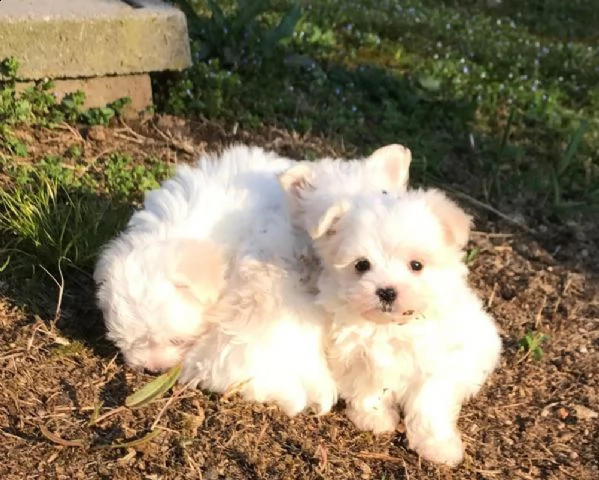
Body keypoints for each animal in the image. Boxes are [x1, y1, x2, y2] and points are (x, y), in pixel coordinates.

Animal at [280, 170, 502, 464]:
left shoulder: (436, 363)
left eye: (416, 265)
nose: (386, 291)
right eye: (361, 265)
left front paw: (437, 446)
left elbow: (429, 404)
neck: (391, 327)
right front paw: (374, 417)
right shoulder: (355, 354)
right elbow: (368, 388)